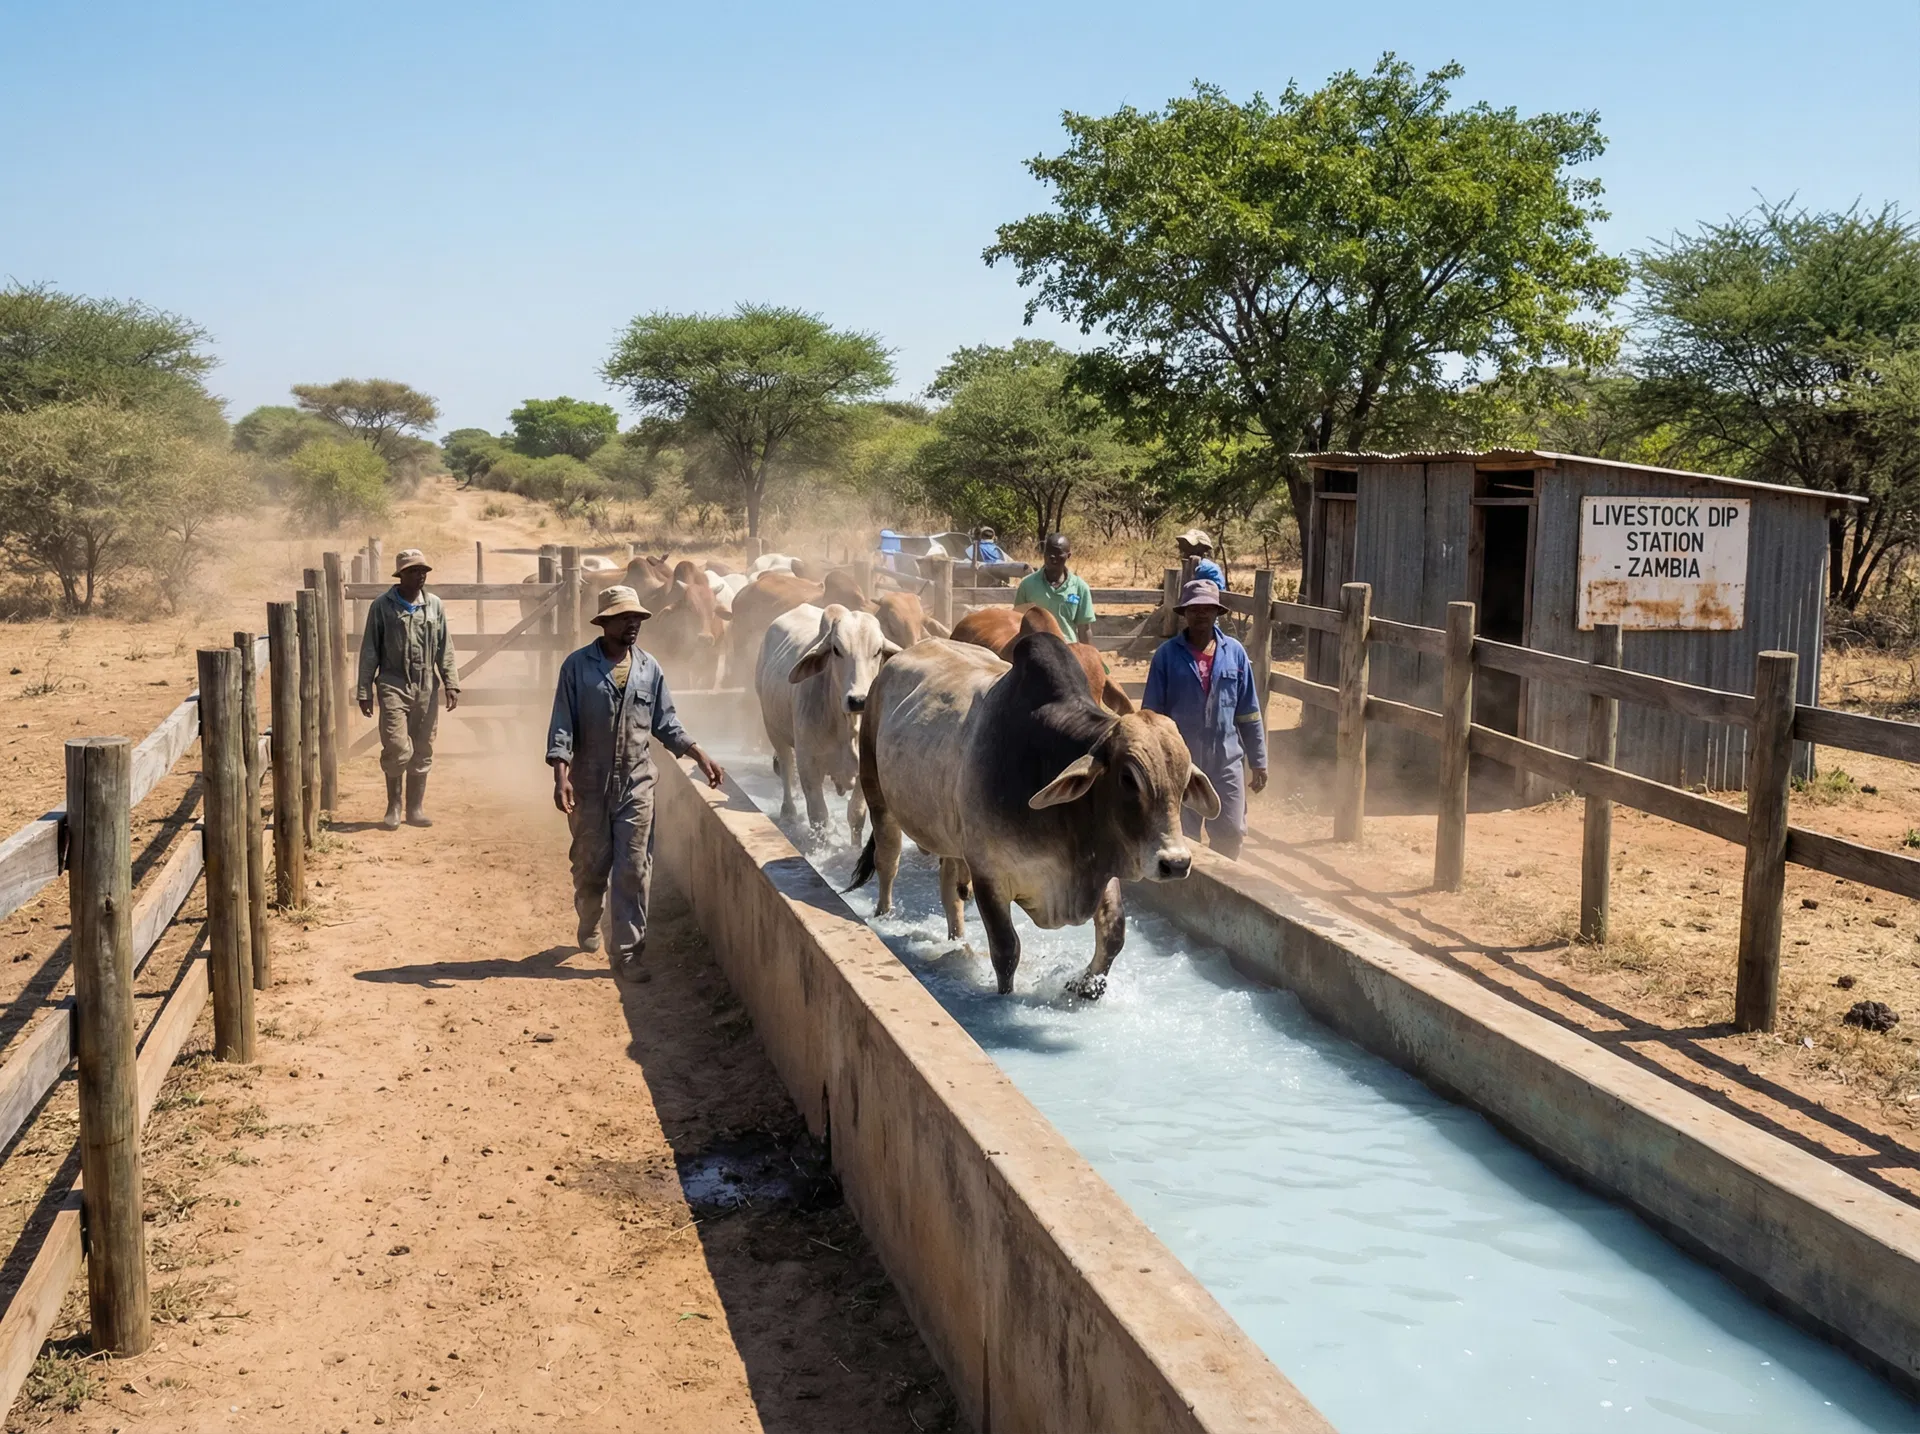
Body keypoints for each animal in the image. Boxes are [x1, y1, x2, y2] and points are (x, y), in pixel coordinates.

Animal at [755, 603, 898, 841]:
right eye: (837, 650)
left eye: (877, 651)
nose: (858, 700)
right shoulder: (809, 766)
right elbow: (818, 817)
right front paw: (820, 847)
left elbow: (856, 815)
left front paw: (854, 847)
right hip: (772, 728)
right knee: (786, 767)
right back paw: (789, 813)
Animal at [848, 633, 1217, 1000]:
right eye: (1128, 778)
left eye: (1184, 780)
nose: (1176, 863)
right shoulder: (989, 875)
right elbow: (1006, 950)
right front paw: (1005, 998)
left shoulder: (1100, 867)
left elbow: (1114, 933)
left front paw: (1085, 987)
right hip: (877, 794)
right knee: (888, 861)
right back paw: (884, 916)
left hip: (950, 835)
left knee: (950, 889)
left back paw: (959, 942)